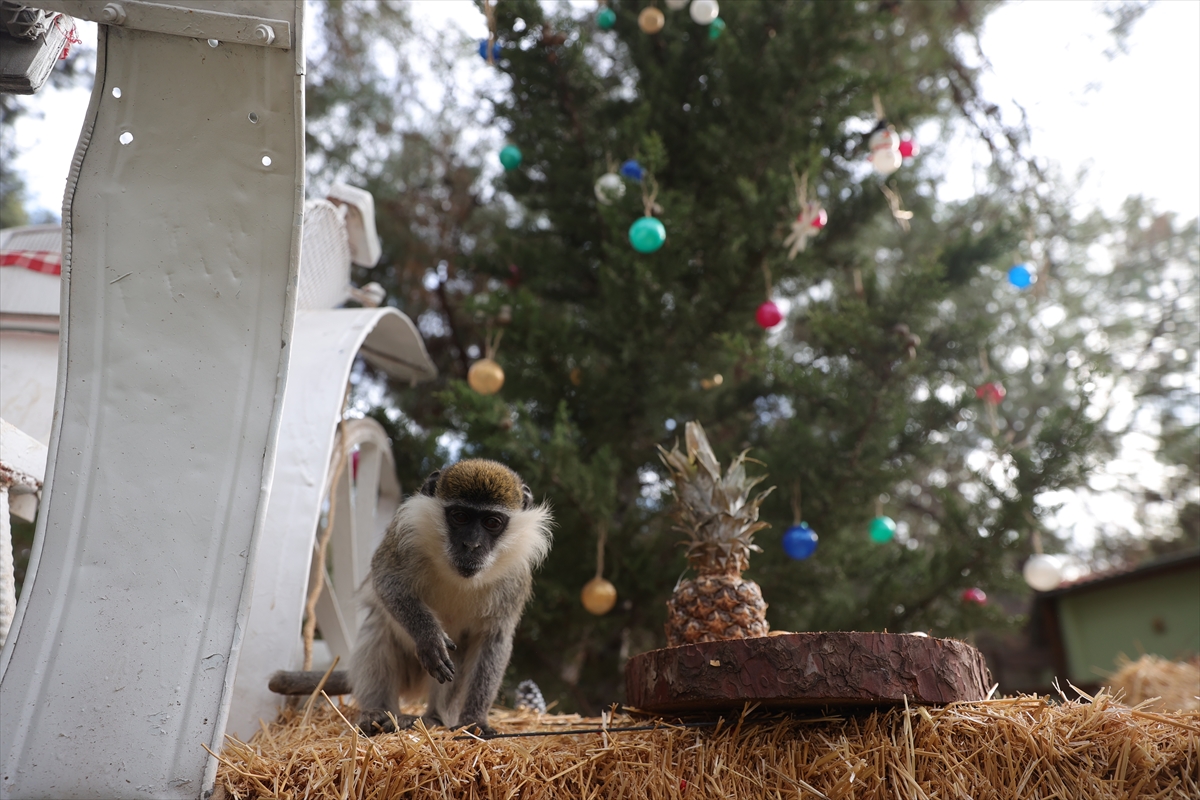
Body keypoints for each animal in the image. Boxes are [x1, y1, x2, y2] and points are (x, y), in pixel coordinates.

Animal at [348, 455, 552, 738]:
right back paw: (379, 714)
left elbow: (494, 638)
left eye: (492, 522)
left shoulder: (514, 577)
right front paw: (428, 636)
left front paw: (475, 720)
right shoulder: (405, 536)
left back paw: (432, 718)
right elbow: (386, 580)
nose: (472, 545)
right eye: (460, 517)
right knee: (377, 628)